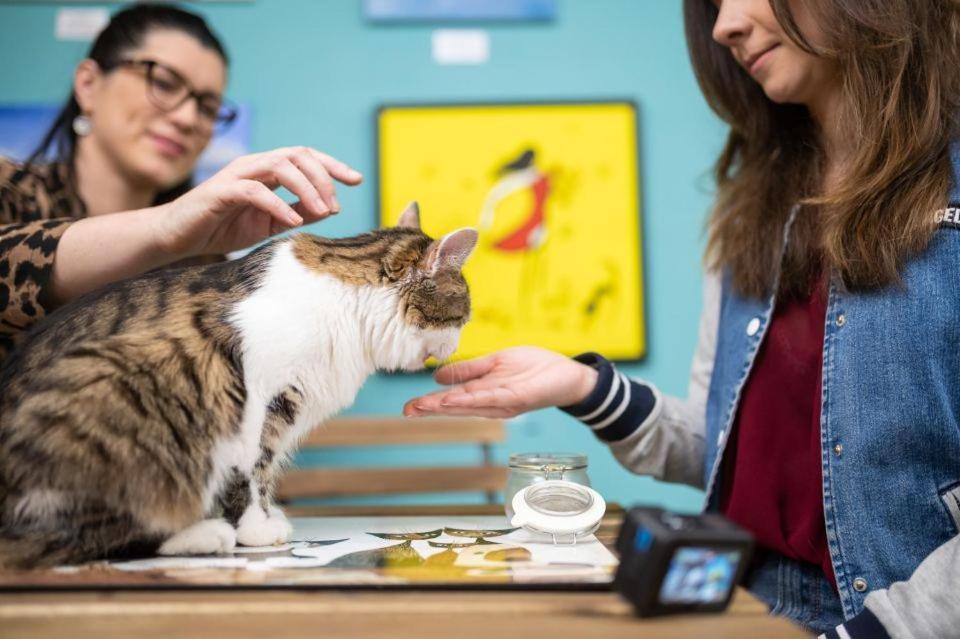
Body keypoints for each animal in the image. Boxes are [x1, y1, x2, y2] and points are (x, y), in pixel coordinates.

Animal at [0, 202, 478, 568]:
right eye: (463, 317)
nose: (458, 344)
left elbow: (265, 470)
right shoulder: (250, 396)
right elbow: (251, 472)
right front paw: (255, 529)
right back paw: (203, 534)